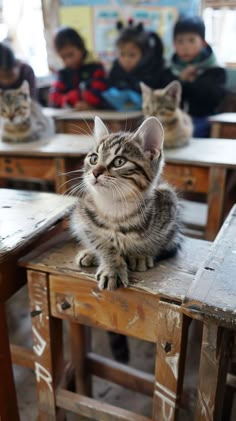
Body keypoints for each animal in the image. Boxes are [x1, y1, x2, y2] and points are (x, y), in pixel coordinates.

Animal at [71, 115, 182, 292]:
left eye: (119, 161)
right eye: (94, 158)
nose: (95, 172)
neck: (115, 207)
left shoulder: (169, 210)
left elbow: (156, 242)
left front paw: (140, 254)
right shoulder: (83, 217)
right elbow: (101, 242)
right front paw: (112, 267)